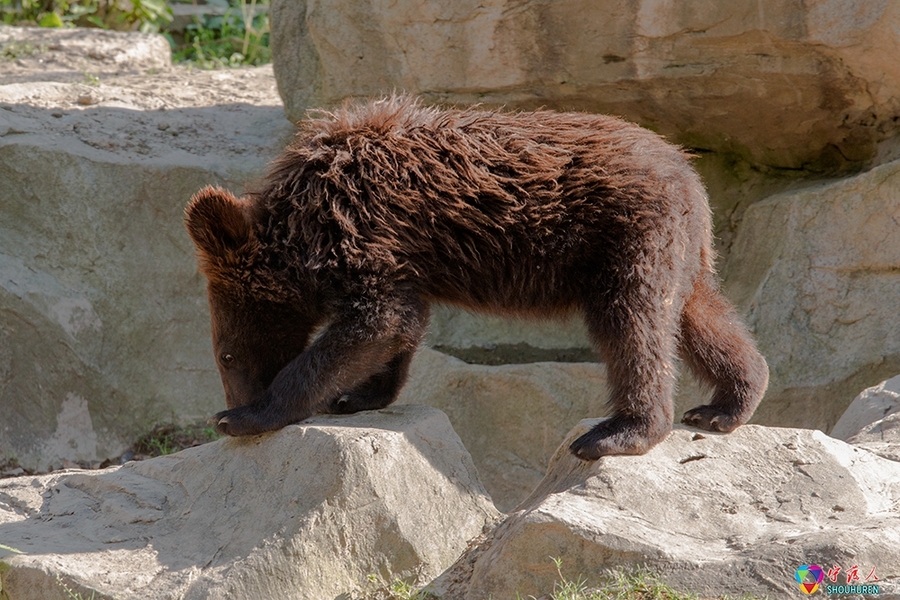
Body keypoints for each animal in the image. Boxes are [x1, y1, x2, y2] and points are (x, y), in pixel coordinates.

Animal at [186, 95, 768, 460]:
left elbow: (377, 321)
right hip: (679, 248)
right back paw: (725, 404)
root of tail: (687, 168)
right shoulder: (397, 255)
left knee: (632, 323)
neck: (305, 227)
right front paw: (355, 396)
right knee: (696, 314)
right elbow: (398, 325)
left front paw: (252, 414)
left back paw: (616, 433)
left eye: (226, 355)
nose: (229, 405)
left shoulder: (365, 231)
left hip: (627, 234)